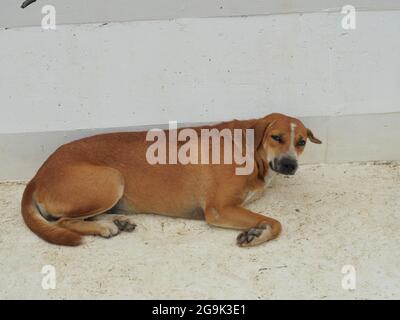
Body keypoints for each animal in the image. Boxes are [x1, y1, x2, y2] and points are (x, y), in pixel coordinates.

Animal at [21, 113, 322, 248]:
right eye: (276, 137)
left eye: (301, 142)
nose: (290, 165)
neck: (249, 148)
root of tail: (37, 175)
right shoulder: (219, 209)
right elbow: (277, 223)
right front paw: (257, 234)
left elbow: (273, 222)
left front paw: (256, 232)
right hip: (111, 179)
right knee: (63, 221)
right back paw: (104, 227)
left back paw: (116, 221)